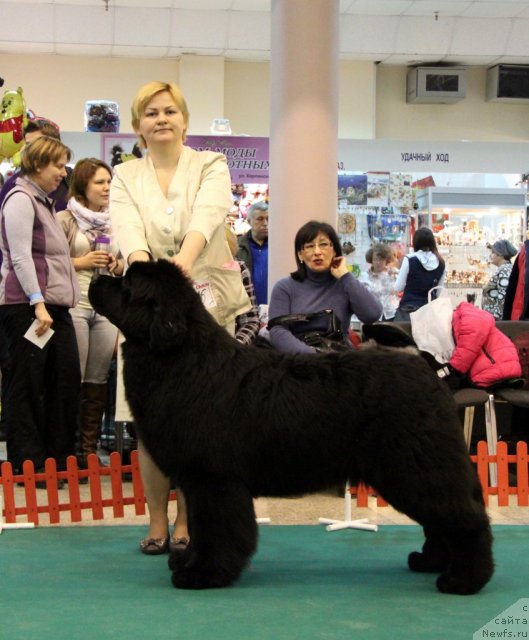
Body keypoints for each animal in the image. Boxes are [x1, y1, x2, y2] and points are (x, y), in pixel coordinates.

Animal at [88, 260, 492, 596]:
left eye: (127, 284)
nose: (95, 276)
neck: (182, 358)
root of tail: (424, 366)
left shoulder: (213, 480)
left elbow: (216, 530)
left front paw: (203, 574)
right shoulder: (200, 481)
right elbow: (203, 531)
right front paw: (187, 561)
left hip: (415, 467)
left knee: (464, 517)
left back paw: (464, 580)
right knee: (440, 519)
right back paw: (431, 562)